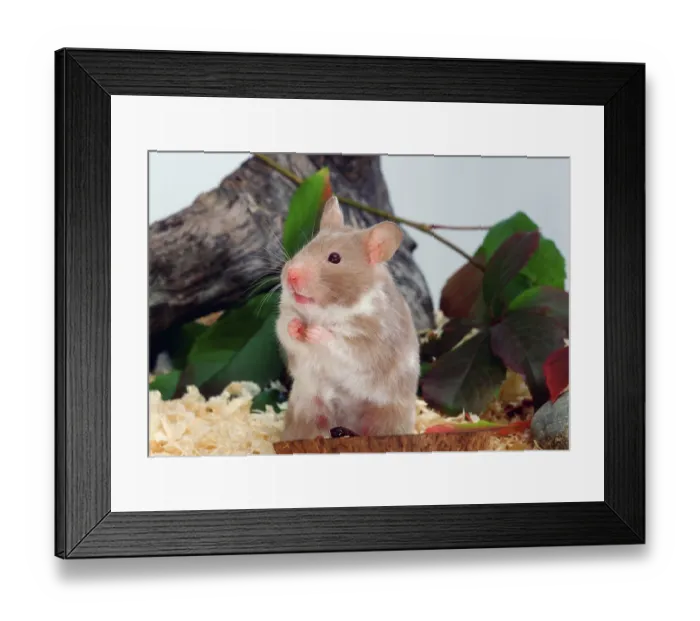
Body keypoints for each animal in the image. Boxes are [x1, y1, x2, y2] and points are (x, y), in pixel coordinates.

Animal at [275, 196, 420, 441]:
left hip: (387, 416)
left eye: (334, 258)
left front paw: (315, 332)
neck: (326, 310)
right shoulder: (285, 316)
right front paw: (297, 328)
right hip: (306, 406)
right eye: (306, 246)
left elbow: (342, 345)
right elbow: (285, 327)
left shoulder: (370, 341)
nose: (291, 274)